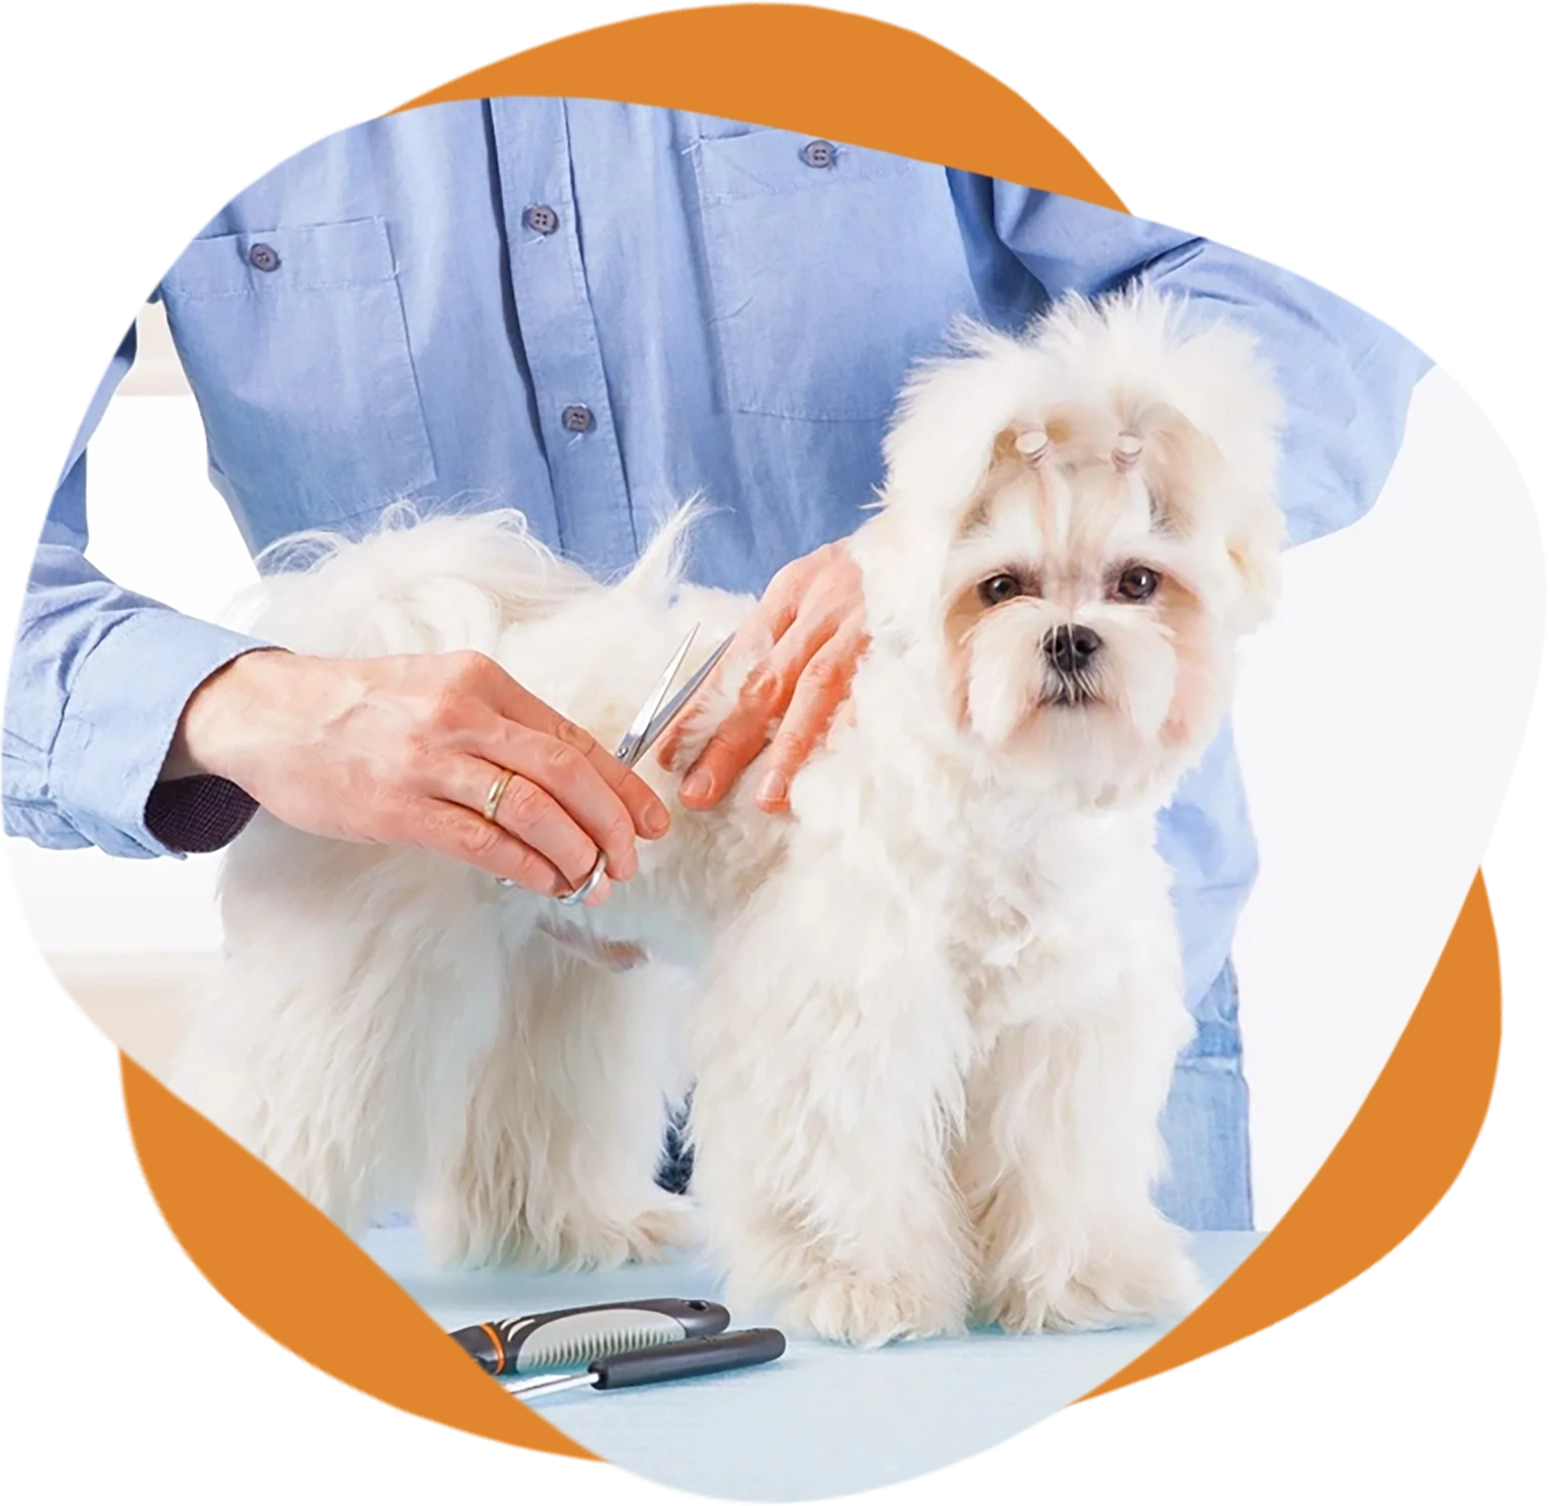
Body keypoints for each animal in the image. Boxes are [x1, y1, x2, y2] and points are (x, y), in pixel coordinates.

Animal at [166, 288, 1283, 1344]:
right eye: (999, 588)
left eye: (1137, 582)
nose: (1068, 639)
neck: (997, 798)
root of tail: (384, 640)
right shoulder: (841, 1015)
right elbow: (844, 1164)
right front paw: (861, 1288)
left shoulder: (1059, 1033)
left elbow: (1059, 1171)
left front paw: (1082, 1284)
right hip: (354, 983)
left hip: (553, 980)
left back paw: (576, 1229)